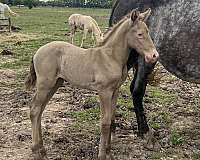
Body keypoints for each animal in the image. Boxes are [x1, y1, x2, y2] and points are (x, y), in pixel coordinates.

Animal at [25, 9, 159, 160]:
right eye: (140, 34)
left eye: (148, 32)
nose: (154, 56)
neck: (110, 57)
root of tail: (37, 52)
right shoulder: (104, 91)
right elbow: (105, 123)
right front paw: (102, 155)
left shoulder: (115, 90)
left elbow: (111, 119)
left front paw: (109, 152)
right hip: (45, 84)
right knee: (35, 110)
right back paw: (36, 150)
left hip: (55, 84)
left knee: (40, 110)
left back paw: (42, 149)